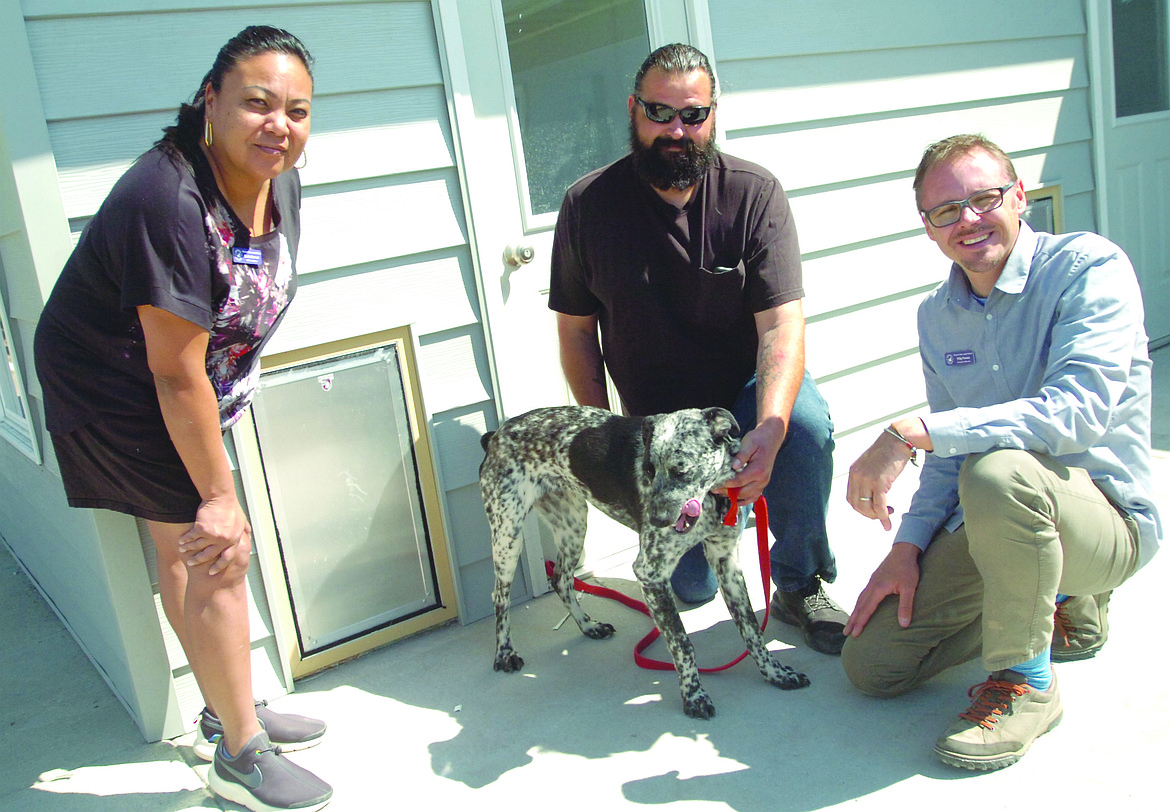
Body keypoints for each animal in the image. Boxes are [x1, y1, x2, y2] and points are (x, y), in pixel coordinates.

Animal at [479, 407, 809, 720]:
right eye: (648, 470)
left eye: (681, 469)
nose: (656, 520)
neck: (711, 501)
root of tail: (496, 435)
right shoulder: (650, 573)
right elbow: (682, 643)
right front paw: (694, 695)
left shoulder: (726, 561)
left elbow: (752, 629)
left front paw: (775, 673)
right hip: (508, 533)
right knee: (499, 596)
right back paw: (504, 653)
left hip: (572, 524)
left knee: (561, 578)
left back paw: (588, 626)